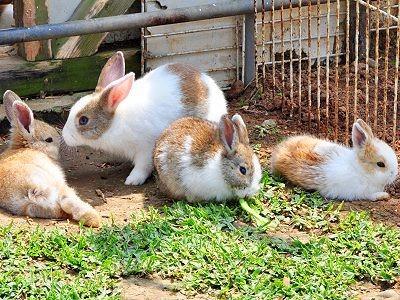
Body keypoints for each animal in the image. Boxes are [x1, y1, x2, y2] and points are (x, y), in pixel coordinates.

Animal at [0, 90, 101, 226]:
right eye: (49, 140)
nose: (60, 139)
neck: (29, 147)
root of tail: (32, 190)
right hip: (58, 186)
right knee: (67, 201)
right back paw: (95, 219)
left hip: (30, 207)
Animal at [61, 52, 227, 186]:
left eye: (83, 120)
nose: (64, 135)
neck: (114, 123)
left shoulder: (145, 149)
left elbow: (142, 167)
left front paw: (132, 180)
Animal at [270, 118, 398, 200]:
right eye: (380, 164)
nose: (394, 174)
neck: (361, 170)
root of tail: (279, 151)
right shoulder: (360, 192)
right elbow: (370, 196)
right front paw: (384, 195)